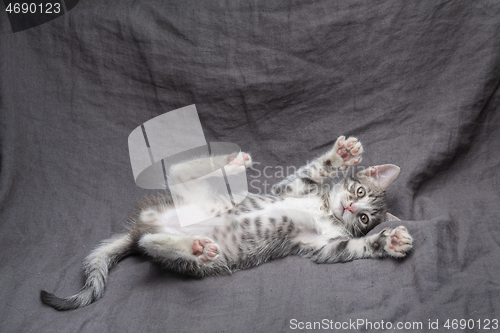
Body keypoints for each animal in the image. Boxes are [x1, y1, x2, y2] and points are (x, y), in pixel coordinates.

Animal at [41, 134, 412, 308]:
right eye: (359, 189)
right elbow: (318, 167)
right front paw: (343, 155)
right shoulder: (292, 187)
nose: (349, 206)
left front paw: (390, 240)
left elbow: (356, 247)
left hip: (195, 258)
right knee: (178, 169)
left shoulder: (323, 246)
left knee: (150, 245)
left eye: (364, 217)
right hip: (187, 193)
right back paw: (231, 163)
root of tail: (142, 226)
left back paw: (191, 245)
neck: (324, 209)